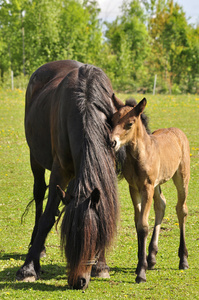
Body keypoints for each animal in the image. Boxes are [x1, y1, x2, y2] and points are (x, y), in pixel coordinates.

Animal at [16, 60, 119, 288]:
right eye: (69, 241)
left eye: (93, 240)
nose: (77, 282)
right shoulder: (59, 171)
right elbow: (46, 218)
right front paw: (28, 268)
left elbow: (105, 212)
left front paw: (101, 265)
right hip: (35, 159)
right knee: (39, 197)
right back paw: (37, 247)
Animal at [110, 96, 190, 284]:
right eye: (112, 120)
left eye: (130, 123)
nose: (112, 142)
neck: (140, 155)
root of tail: (178, 132)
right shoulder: (134, 188)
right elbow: (138, 222)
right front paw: (142, 263)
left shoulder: (146, 188)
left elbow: (143, 225)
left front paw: (141, 272)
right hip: (157, 184)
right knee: (161, 205)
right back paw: (152, 257)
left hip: (182, 177)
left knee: (181, 209)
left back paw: (183, 260)